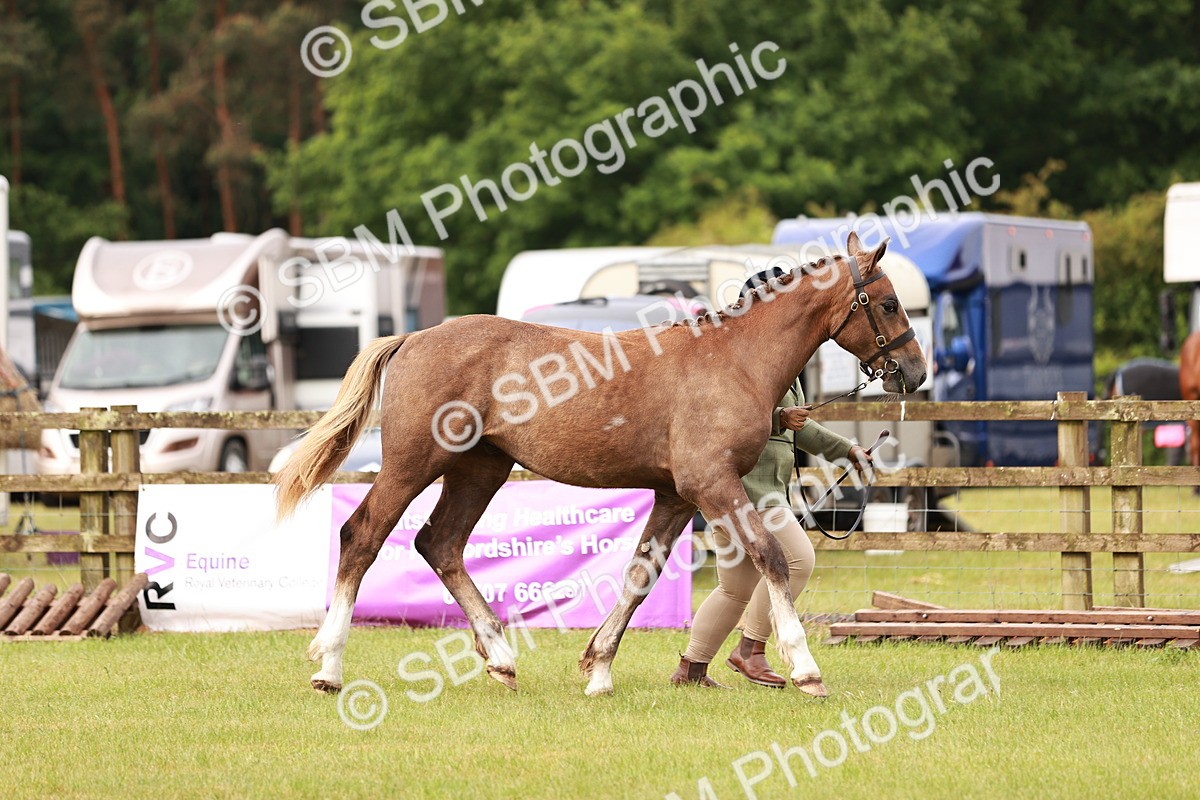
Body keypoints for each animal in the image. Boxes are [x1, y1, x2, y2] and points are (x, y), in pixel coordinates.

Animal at [274, 232, 927, 698]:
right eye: (889, 303)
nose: (917, 373)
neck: (734, 359)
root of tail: (413, 337)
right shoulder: (713, 484)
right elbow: (769, 557)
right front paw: (806, 668)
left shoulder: (677, 495)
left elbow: (641, 574)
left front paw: (598, 669)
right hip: (414, 464)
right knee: (363, 536)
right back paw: (328, 667)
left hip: (479, 470)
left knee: (440, 544)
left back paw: (501, 660)